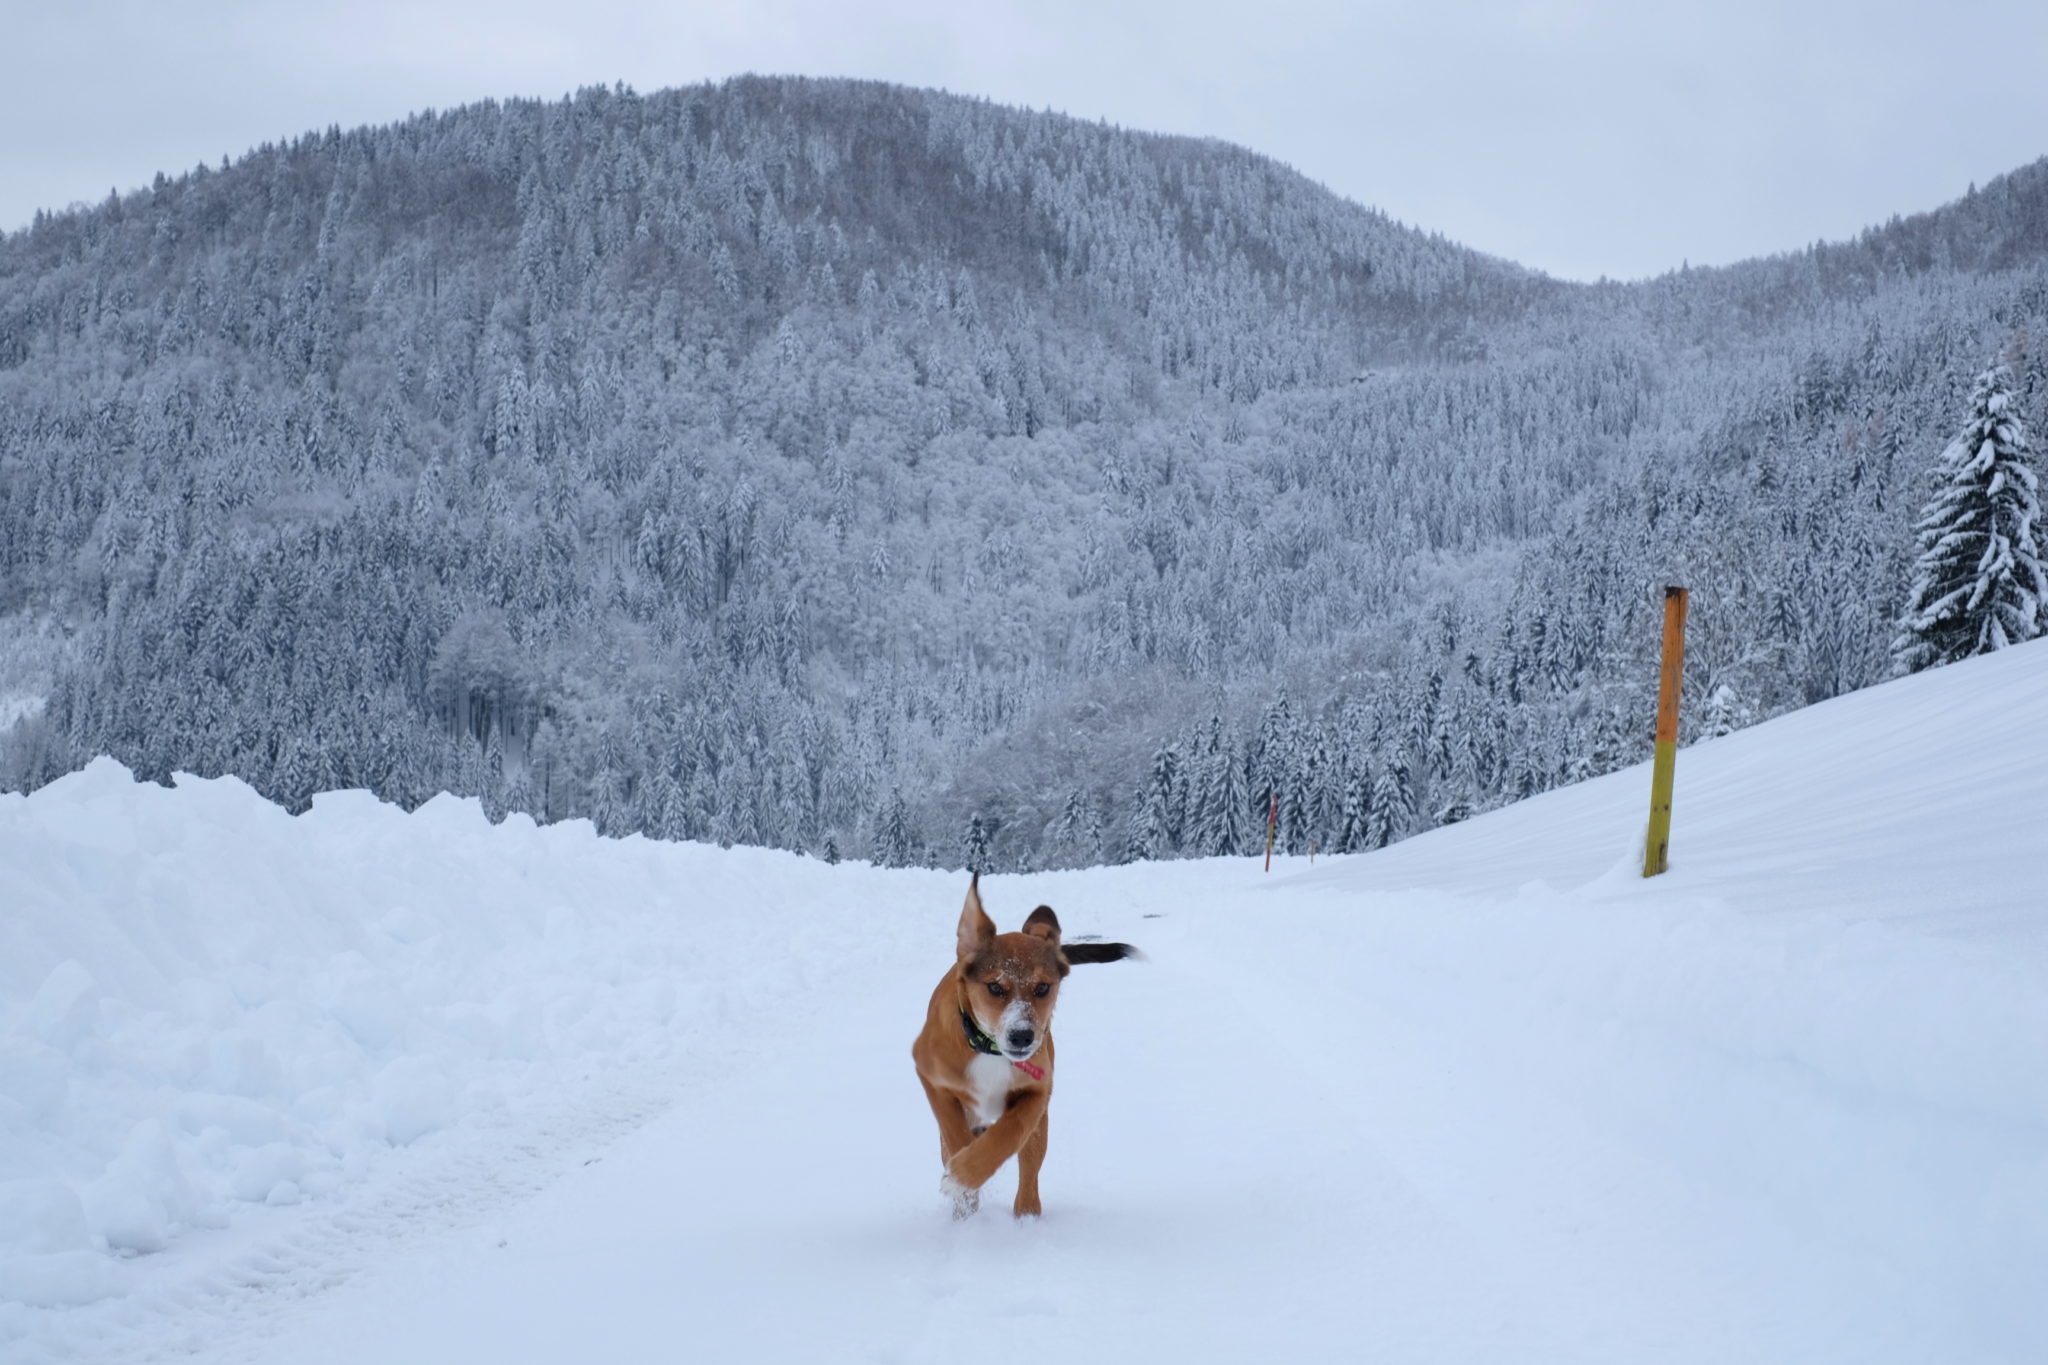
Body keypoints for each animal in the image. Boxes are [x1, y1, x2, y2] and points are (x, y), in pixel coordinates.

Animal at [913, 879, 1138, 1219]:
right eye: (995, 987)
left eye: (1043, 987)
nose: (1022, 1036)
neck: (988, 1049)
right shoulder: (930, 1075)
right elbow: (953, 1131)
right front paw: (963, 1180)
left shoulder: (1038, 1091)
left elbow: (1010, 1132)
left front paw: (966, 1174)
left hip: (1040, 1129)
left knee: (1029, 1172)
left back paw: (1026, 1217)